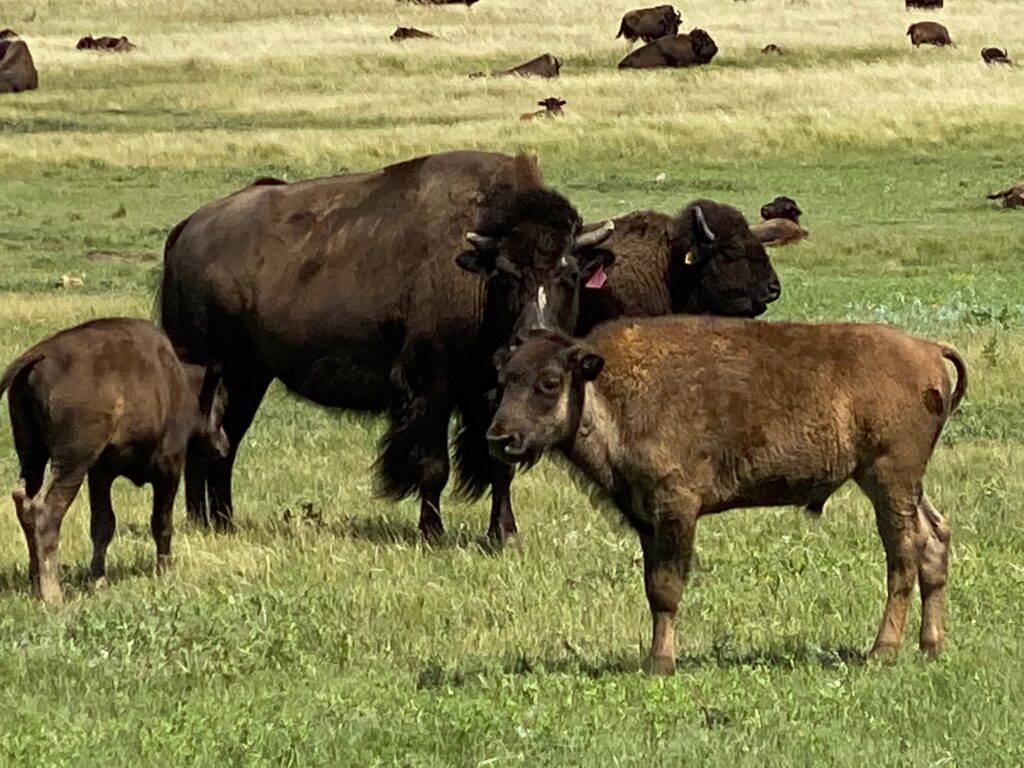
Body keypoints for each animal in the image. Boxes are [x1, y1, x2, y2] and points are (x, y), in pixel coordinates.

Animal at [1, 318, 228, 605]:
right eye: (221, 407)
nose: (224, 446)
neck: (178, 382)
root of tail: (40, 354)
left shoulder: (101, 474)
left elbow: (103, 524)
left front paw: (98, 579)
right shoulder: (170, 467)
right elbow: (161, 522)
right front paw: (165, 571)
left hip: (32, 455)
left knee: (24, 501)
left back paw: (35, 582)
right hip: (72, 462)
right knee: (46, 509)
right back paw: (53, 595)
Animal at [158, 150, 614, 543]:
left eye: (569, 273)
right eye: (504, 274)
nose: (534, 336)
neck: (473, 275)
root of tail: (187, 228)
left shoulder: (493, 399)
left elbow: (499, 465)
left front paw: (504, 535)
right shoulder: (430, 387)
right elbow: (433, 465)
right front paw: (432, 534)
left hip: (249, 377)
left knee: (226, 441)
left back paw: (220, 522)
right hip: (215, 370)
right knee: (208, 440)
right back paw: (202, 521)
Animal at [486, 319, 965, 674]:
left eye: (550, 382)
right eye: (504, 379)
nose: (500, 437)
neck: (605, 386)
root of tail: (927, 349)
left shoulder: (677, 509)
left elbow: (667, 588)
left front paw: (661, 663)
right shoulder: (647, 519)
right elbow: (653, 588)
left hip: (888, 478)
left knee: (903, 555)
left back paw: (882, 651)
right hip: (899, 484)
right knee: (934, 536)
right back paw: (930, 646)